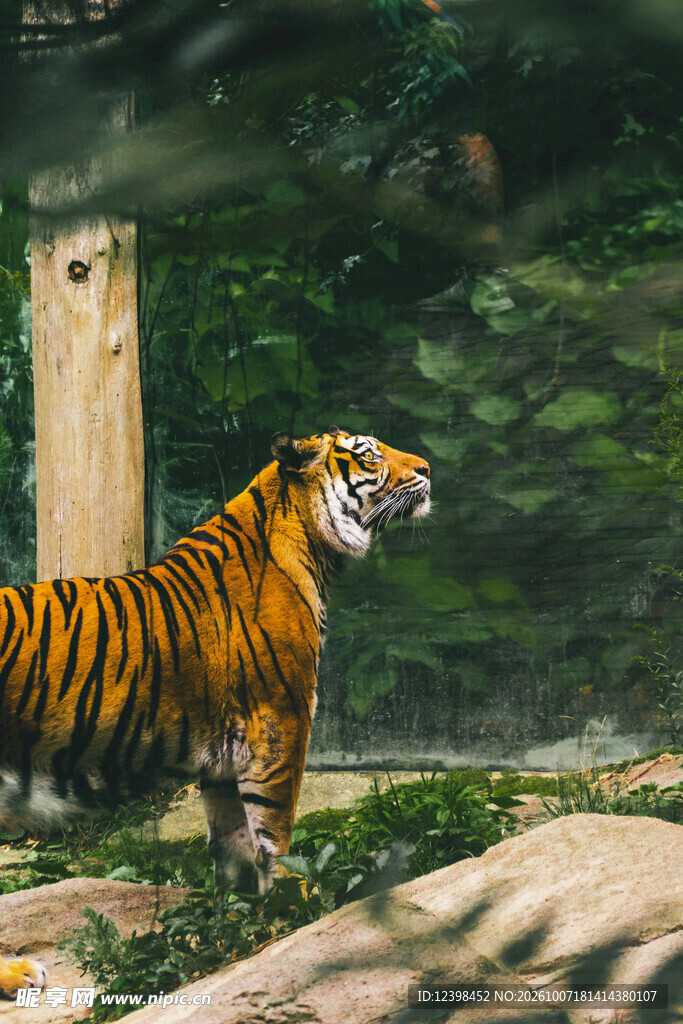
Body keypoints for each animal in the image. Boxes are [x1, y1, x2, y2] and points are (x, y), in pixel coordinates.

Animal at [0, 427, 430, 995]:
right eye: (368, 454)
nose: (427, 468)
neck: (310, 546)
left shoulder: (224, 758)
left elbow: (233, 848)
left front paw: (235, 924)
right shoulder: (281, 725)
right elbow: (275, 835)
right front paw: (296, 908)